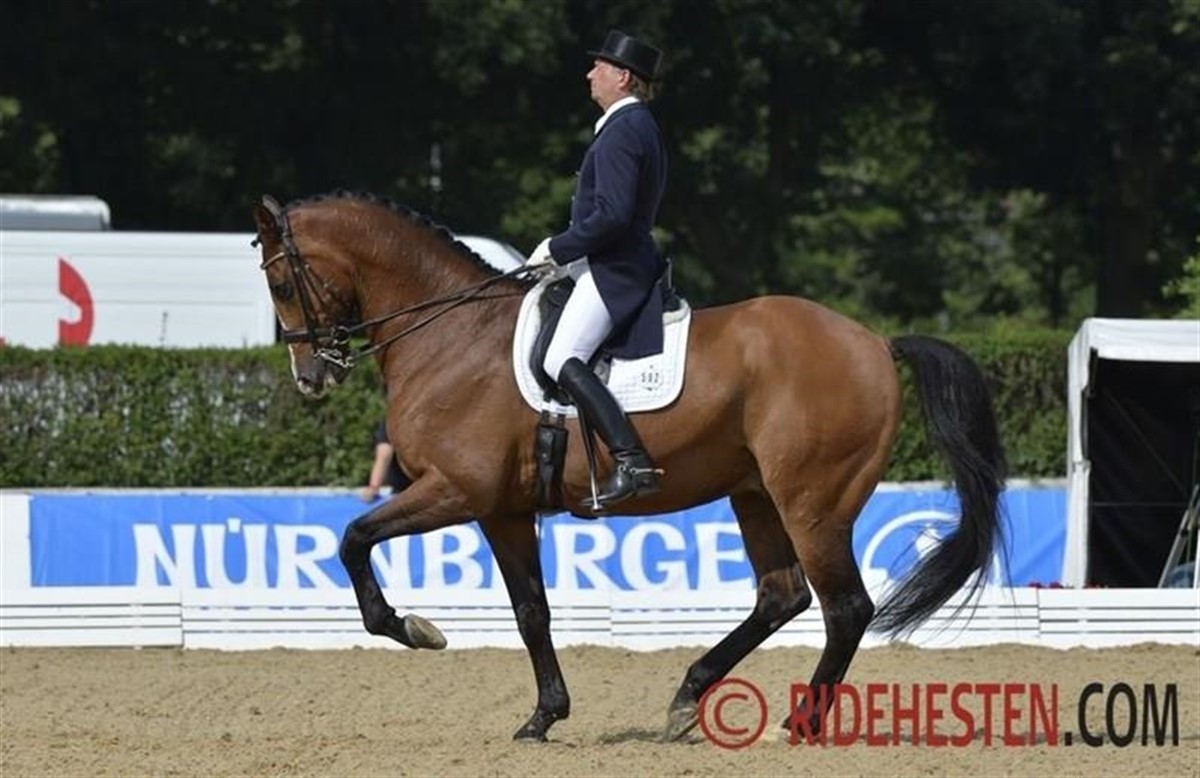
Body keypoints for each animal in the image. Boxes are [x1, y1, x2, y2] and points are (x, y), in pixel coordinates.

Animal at [250, 191, 1006, 743]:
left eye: (283, 282)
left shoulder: (456, 492)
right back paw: (688, 697)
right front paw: (542, 717)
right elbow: (531, 611)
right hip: (756, 495)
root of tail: (875, 342)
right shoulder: (503, 510)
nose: (311, 376)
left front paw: (412, 629)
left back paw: (800, 722)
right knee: (782, 595)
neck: (452, 337)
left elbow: (354, 539)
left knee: (845, 607)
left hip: (812, 502)